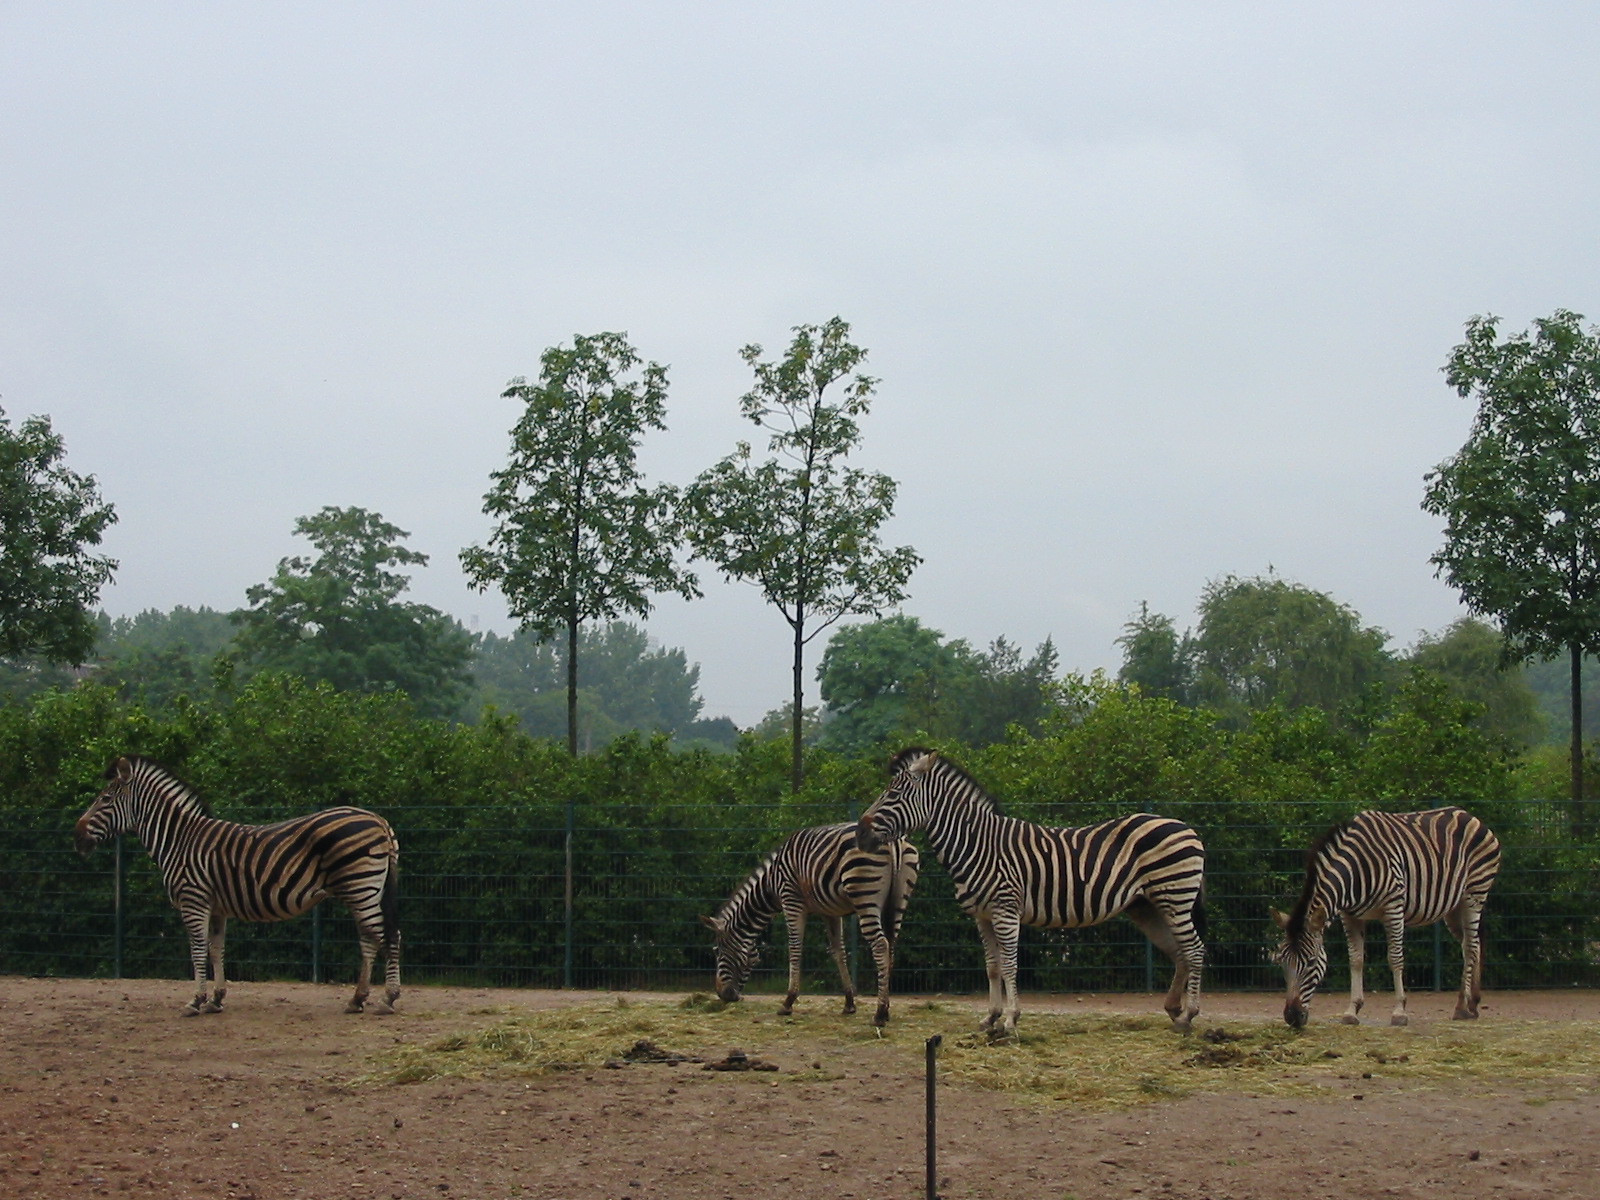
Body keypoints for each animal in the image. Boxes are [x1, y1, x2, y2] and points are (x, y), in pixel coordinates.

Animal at [73, 755, 402, 1017]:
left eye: (104, 799)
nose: (77, 837)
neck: (180, 840)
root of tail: (378, 819)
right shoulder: (216, 906)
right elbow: (216, 948)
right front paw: (216, 999)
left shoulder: (194, 900)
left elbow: (197, 949)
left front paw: (196, 1001)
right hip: (364, 889)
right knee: (370, 938)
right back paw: (357, 999)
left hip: (359, 886)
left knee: (387, 935)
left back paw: (388, 998)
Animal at [702, 822, 919, 1027]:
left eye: (717, 951)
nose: (722, 995)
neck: (770, 883)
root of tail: (892, 839)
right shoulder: (831, 911)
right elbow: (838, 952)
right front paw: (849, 1003)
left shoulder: (791, 899)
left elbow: (795, 949)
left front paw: (788, 1001)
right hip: (898, 900)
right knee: (891, 946)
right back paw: (887, 1008)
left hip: (864, 895)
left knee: (880, 945)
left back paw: (880, 1013)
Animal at [856, 748, 1207, 1037]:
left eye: (894, 793)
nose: (860, 833)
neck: (977, 844)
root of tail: (1184, 826)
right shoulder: (982, 916)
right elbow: (993, 966)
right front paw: (991, 1018)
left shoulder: (1005, 910)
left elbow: (1010, 965)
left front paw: (1011, 1020)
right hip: (1147, 905)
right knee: (1178, 951)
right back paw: (1173, 1010)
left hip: (1175, 898)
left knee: (1194, 950)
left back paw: (1188, 1015)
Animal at [1271, 807, 1500, 1029]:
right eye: (1282, 961)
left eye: (1310, 962)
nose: (1292, 1017)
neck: (1356, 870)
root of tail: (1468, 815)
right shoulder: (1350, 915)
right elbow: (1356, 960)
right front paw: (1352, 1010)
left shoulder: (1393, 908)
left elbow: (1395, 958)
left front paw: (1399, 1011)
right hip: (1453, 907)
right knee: (1472, 944)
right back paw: (1473, 1004)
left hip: (1474, 894)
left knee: (1470, 947)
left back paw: (1461, 1007)